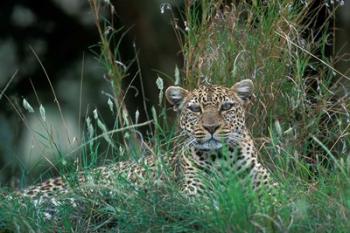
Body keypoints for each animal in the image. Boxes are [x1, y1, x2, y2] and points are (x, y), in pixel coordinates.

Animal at [8, 79, 276, 204]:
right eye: (195, 109)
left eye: (226, 107)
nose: (211, 128)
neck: (223, 159)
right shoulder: (193, 195)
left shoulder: (271, 189)